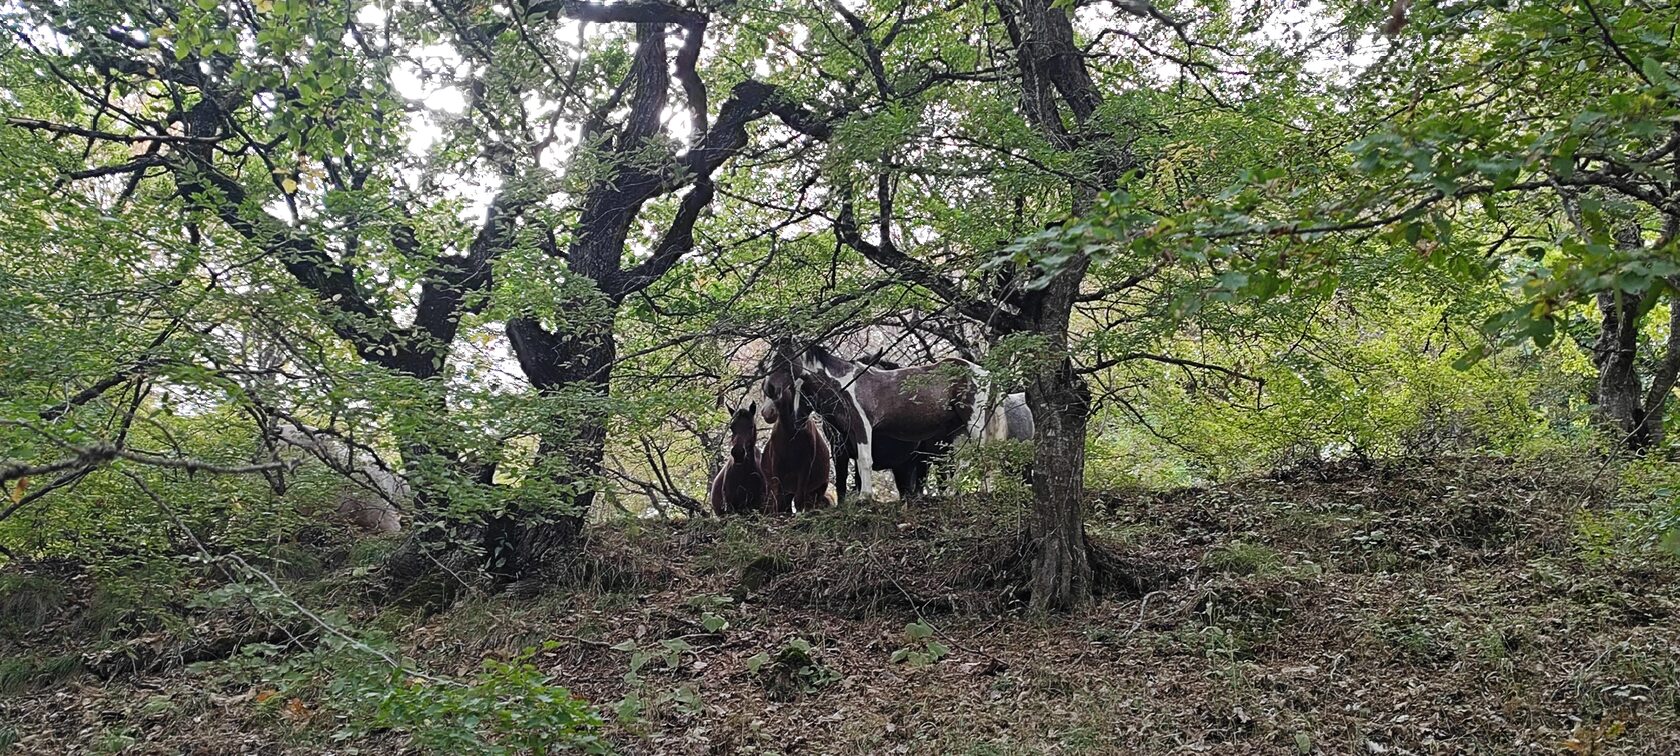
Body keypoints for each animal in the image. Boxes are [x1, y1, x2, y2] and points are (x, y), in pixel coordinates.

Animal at [757, 366, 832, 513]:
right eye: (764, 387)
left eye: (784, 386)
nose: (767, 412)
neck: (790, 434)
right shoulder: (777, 467)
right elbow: (778, 499)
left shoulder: (805, 467)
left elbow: (798, 500)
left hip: (818, 488)